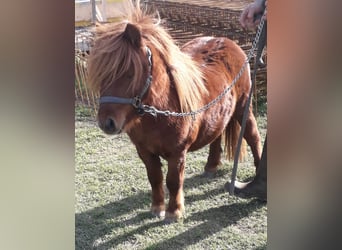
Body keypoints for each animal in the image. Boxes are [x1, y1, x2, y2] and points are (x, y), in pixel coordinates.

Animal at [87, 0, 262, 223]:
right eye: (101, 74)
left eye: (130, 73)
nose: (107, 123)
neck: (160, 113)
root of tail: (229, 42)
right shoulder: (144, 151)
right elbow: (154, 178)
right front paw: (157, 208)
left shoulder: (177, 152)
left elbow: (173, 180)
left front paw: (173, 211)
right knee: (217, 134)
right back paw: (211, 166)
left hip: (243, 107)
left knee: (253, 136)